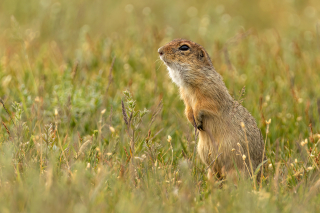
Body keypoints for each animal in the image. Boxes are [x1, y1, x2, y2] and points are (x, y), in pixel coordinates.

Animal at [158, 38, 264, 180]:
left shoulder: (210, 91)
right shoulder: (185, 96)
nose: (159, 51)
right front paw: (192, 119)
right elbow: (188, 108)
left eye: (184, 47)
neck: (190, 84)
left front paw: (197, 119)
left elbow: (205, 105)